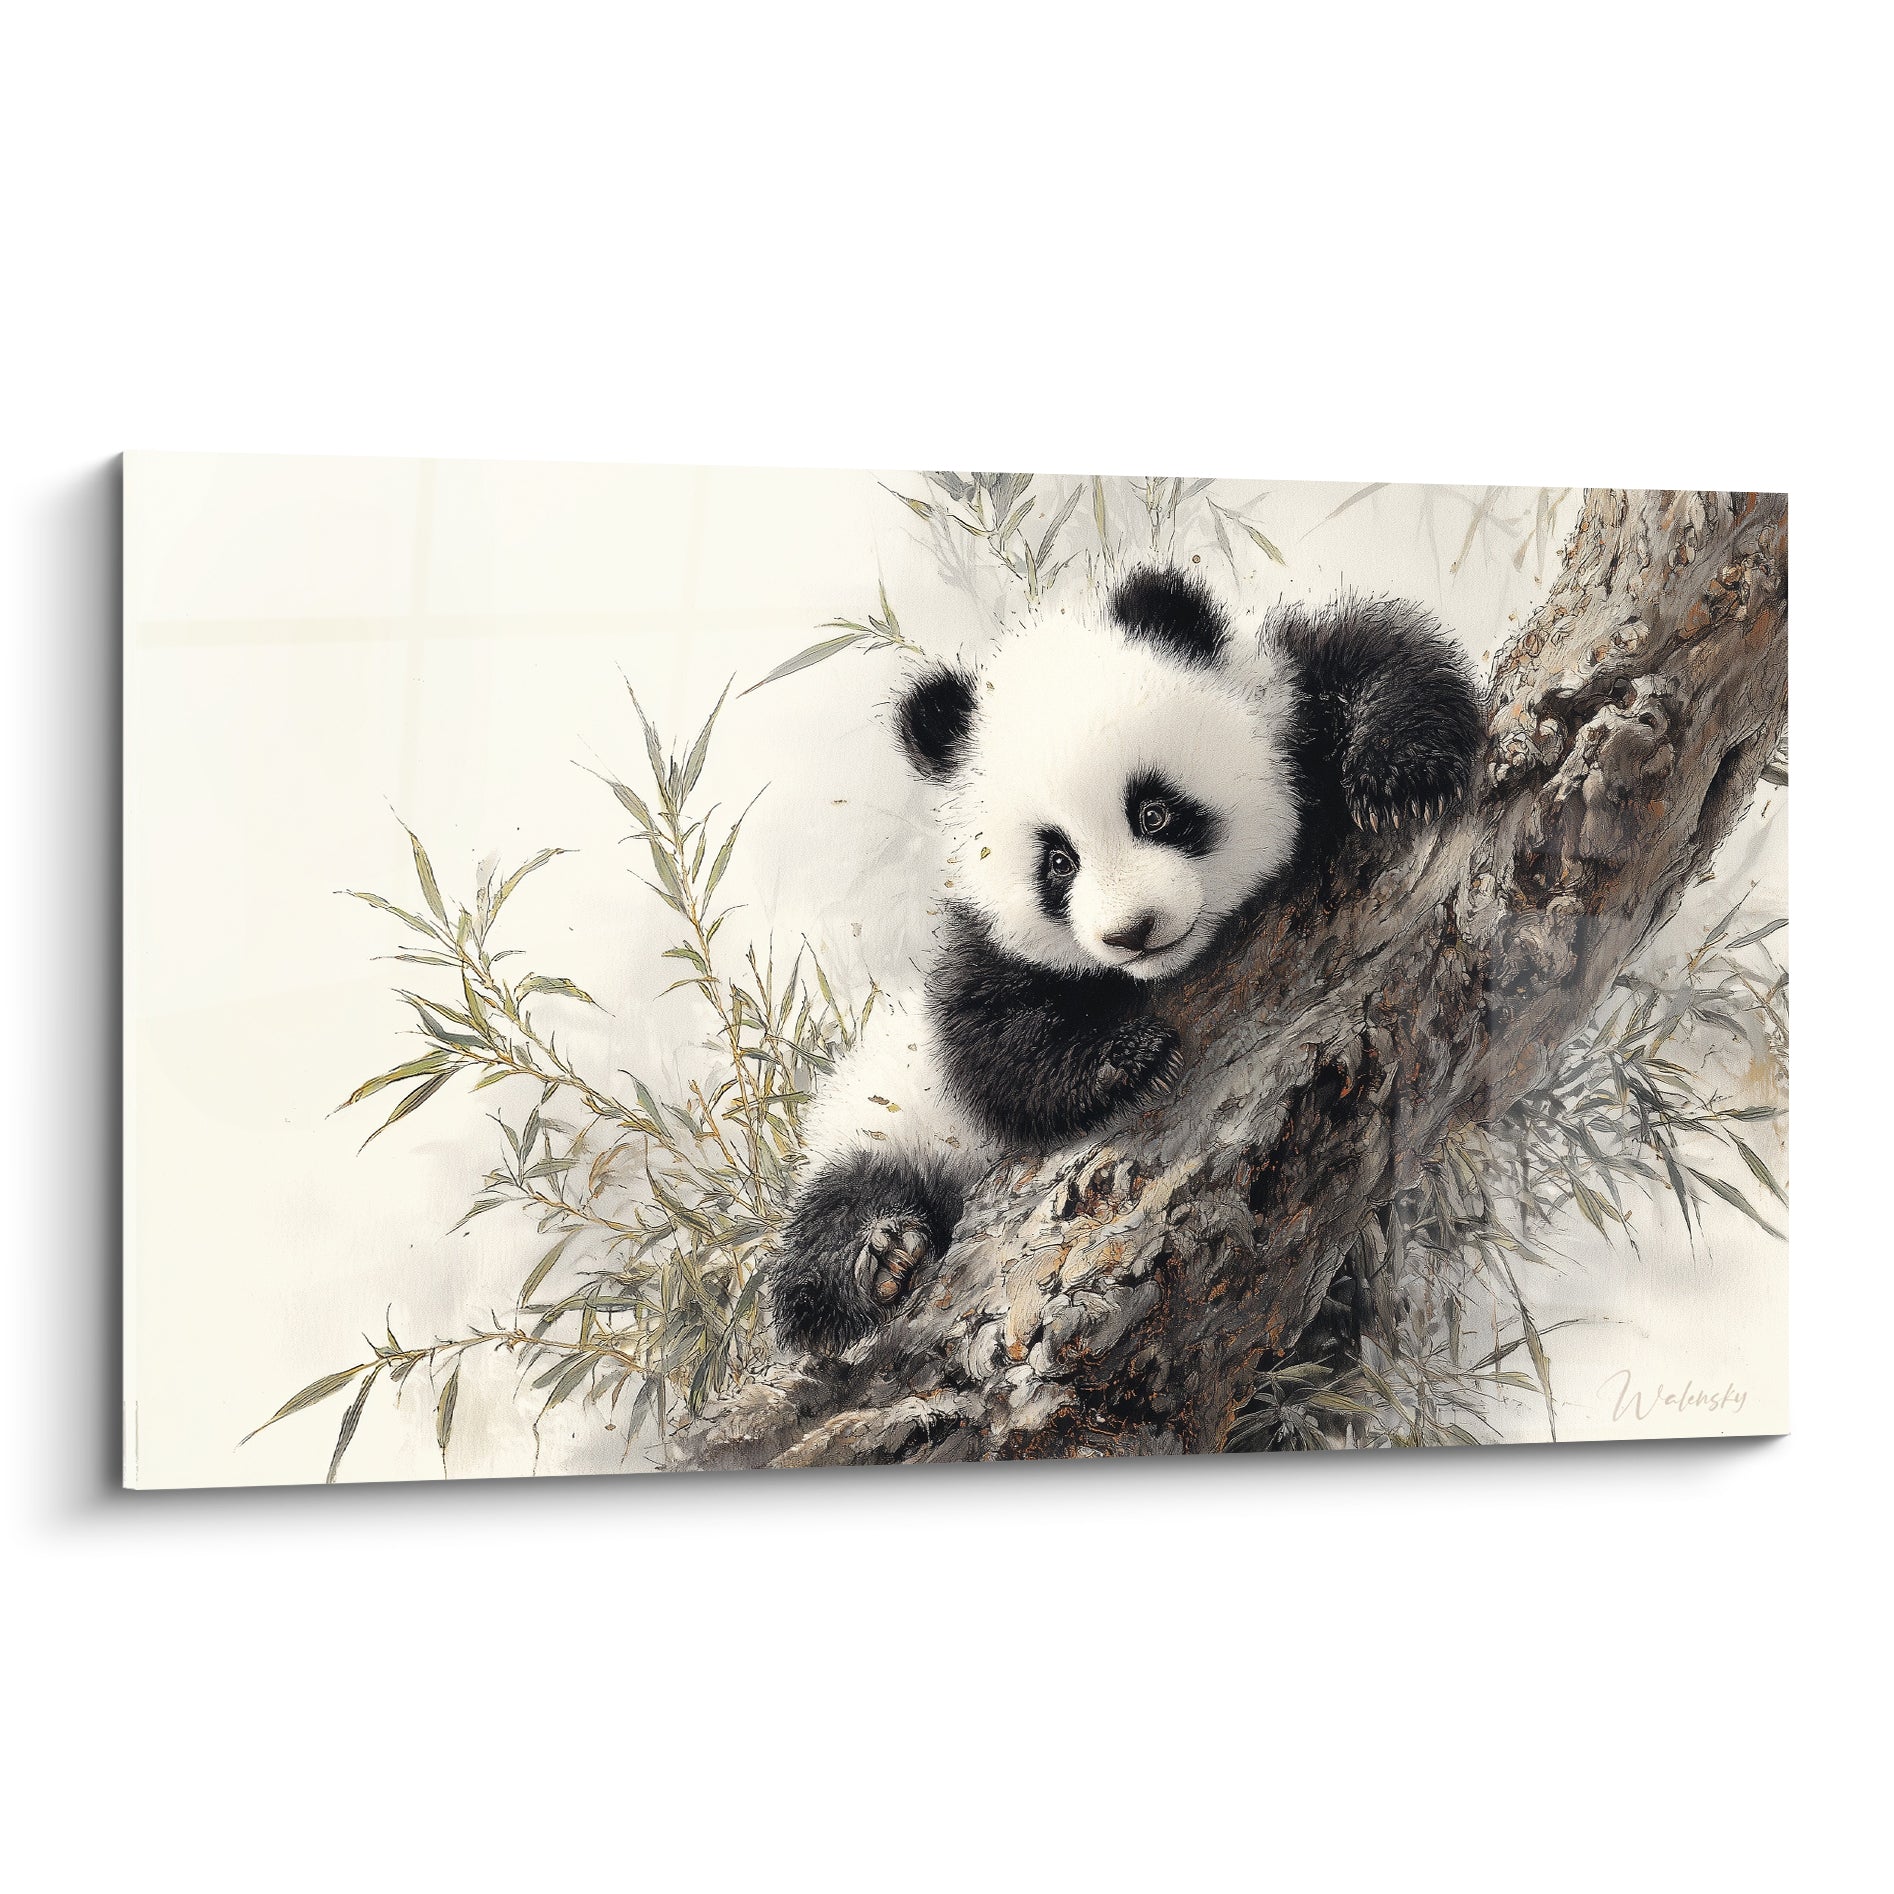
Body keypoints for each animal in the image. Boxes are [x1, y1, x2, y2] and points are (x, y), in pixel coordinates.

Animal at [768, 565, 1485, 1357]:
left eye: (1155, 812)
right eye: (1058, 861)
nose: (1133, 932)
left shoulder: (1283, 693)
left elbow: (1379, 658)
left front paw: (1400, 775)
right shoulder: (981, 952)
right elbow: (988, 1041)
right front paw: (1128, 1057)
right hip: (888, 1120)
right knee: (834, 1216)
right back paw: (881, 1259)